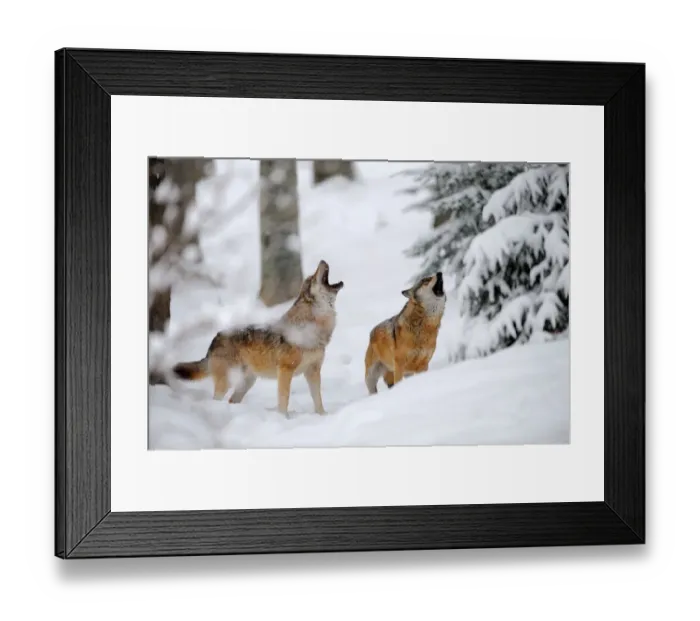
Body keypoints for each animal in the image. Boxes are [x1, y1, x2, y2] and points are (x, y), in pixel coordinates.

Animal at [172, 260, 344, 416]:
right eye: (313, 277)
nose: (323, 260)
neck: (314, 327)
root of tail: (216, 337)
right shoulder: (285, 370)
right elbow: (284, 398)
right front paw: (283, 418)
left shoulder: (313, 371)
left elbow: (318, 399)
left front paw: (323, 416)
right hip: (227, 382)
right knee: (217, 399)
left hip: (247, 382)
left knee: (232, 400)